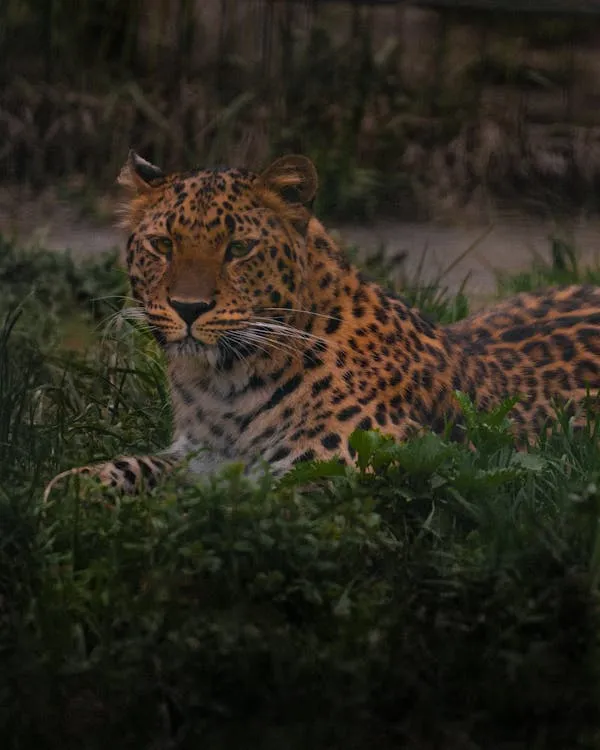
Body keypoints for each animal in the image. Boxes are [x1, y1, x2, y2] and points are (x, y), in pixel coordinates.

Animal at [44, 150, 600, 501]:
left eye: (238, 248)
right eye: (162, 244)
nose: (188, 307)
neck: (220, 386)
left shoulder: (336, 466)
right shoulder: (198, 454)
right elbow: (134, 465)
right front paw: (71, 487)